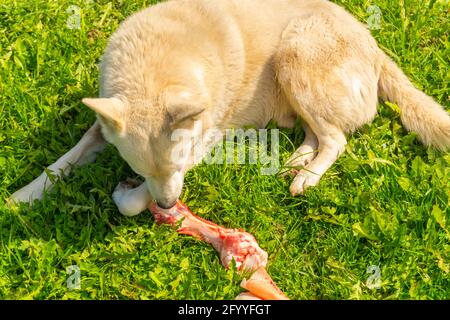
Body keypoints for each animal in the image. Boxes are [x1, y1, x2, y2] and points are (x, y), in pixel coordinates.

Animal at [7, 0, 450, 215]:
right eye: (138, 168)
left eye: (177, 164)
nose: (168, 207)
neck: (154, 67)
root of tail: (375, 46)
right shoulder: (104, 126)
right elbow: (63, 161)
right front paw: (24, 196)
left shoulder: (201, 142)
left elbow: (135, 203)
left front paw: (128, 199)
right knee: (321, 131)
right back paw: (298, 160)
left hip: (295, 52)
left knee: (337, 137)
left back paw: (307, 177)